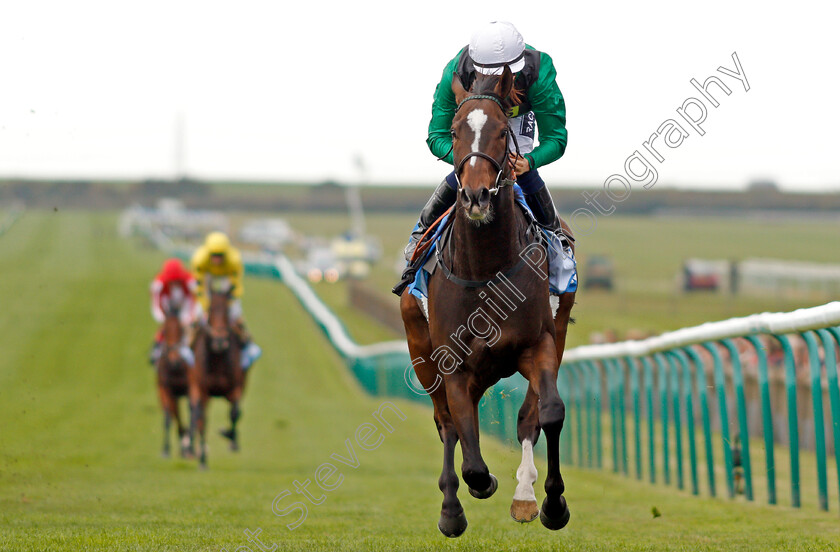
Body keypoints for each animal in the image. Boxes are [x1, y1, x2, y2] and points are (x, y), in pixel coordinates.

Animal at [190, 280, 243, 470]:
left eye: (227, 309)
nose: (219, 340)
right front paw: (202, 460)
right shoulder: (203, 390)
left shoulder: (236, 387)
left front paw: (230, 437)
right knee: (196, 414)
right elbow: (203, 420)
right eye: (211, 308)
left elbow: (235, 412)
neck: (218, 358)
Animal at [402, 67, 576, 536]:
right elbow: (471, 456)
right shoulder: (454, 364)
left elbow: (548, 413)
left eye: (501, 131)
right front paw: (473, 491)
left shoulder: (540, 344)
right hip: (422, 353)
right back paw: (451, 509)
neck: (484, 270)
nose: (476, 196)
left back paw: (525, 495)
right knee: (447, 424)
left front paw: (552, 503)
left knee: (526, 419)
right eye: (454, 132)